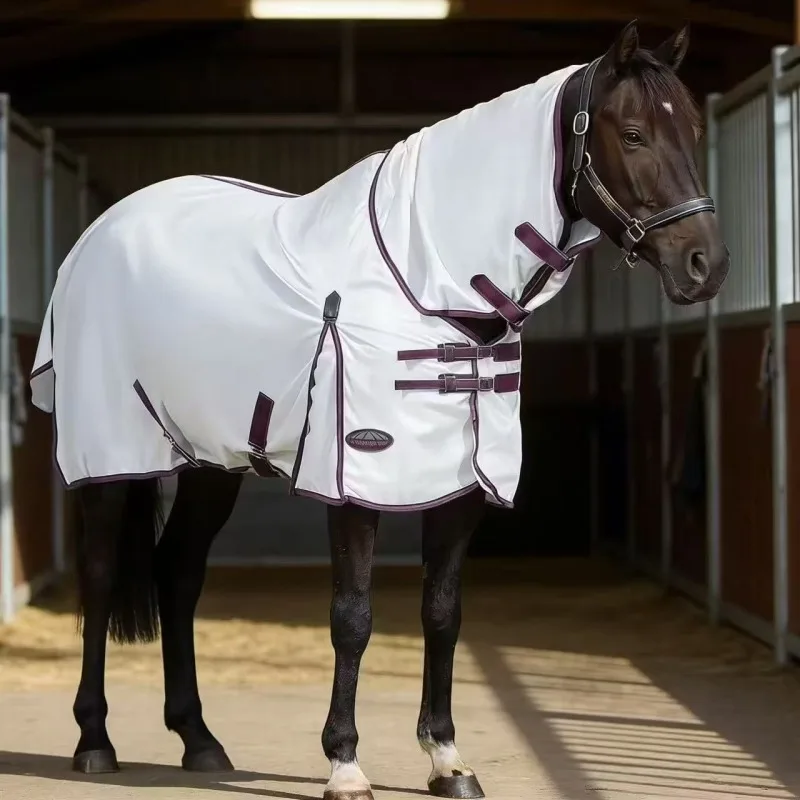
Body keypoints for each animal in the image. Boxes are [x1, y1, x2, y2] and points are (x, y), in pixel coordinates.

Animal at [30, 20, 729, 800]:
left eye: (693, 129)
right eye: (633, 134)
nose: (706, 266)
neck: (425, 283)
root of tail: (99, 235)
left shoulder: (462, 485)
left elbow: (443, 612)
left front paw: (448, 759)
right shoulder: (354, 482)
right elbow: (353, 618)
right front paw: (345, 764)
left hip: (210, 461)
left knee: (179, 574)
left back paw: (200, 741)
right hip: (110, 456)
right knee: (98, 576)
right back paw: (95, 741)